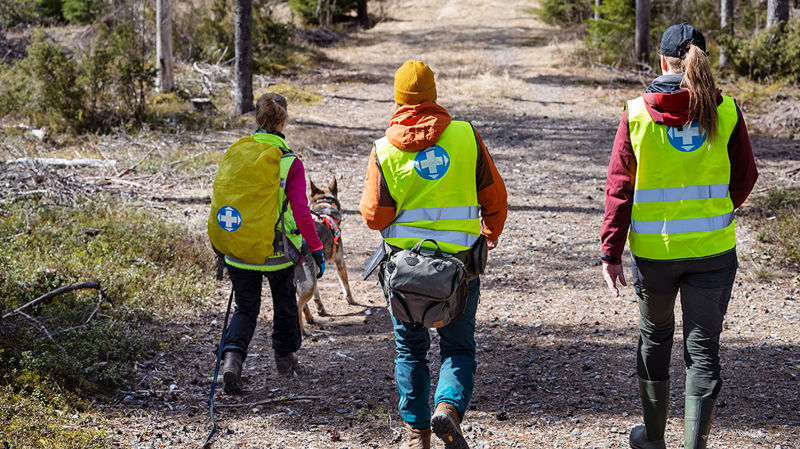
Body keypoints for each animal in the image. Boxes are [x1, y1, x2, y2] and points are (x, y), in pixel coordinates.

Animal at [296, 177, 354, 334]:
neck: (323, 204)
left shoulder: (316, 272)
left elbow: (317, 296)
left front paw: (320, 309)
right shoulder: (340, 262)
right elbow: (346, 285)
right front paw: (351, 300)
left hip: (305, 284)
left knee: (302, 305)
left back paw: (310, 319)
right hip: (307, 285)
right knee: (298, 306)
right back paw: (302, 330)